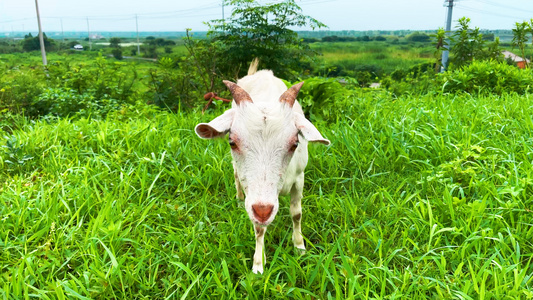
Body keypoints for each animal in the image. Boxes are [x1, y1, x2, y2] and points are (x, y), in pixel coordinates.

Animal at [195, 61, 328, 274]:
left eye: (295, 144)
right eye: (232, 142)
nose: (263, 211)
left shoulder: (299, 178)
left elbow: (296, 214)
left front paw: (299, 247)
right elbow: (259, 228)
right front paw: (258, 265)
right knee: (235, 175)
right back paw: (239, 200)